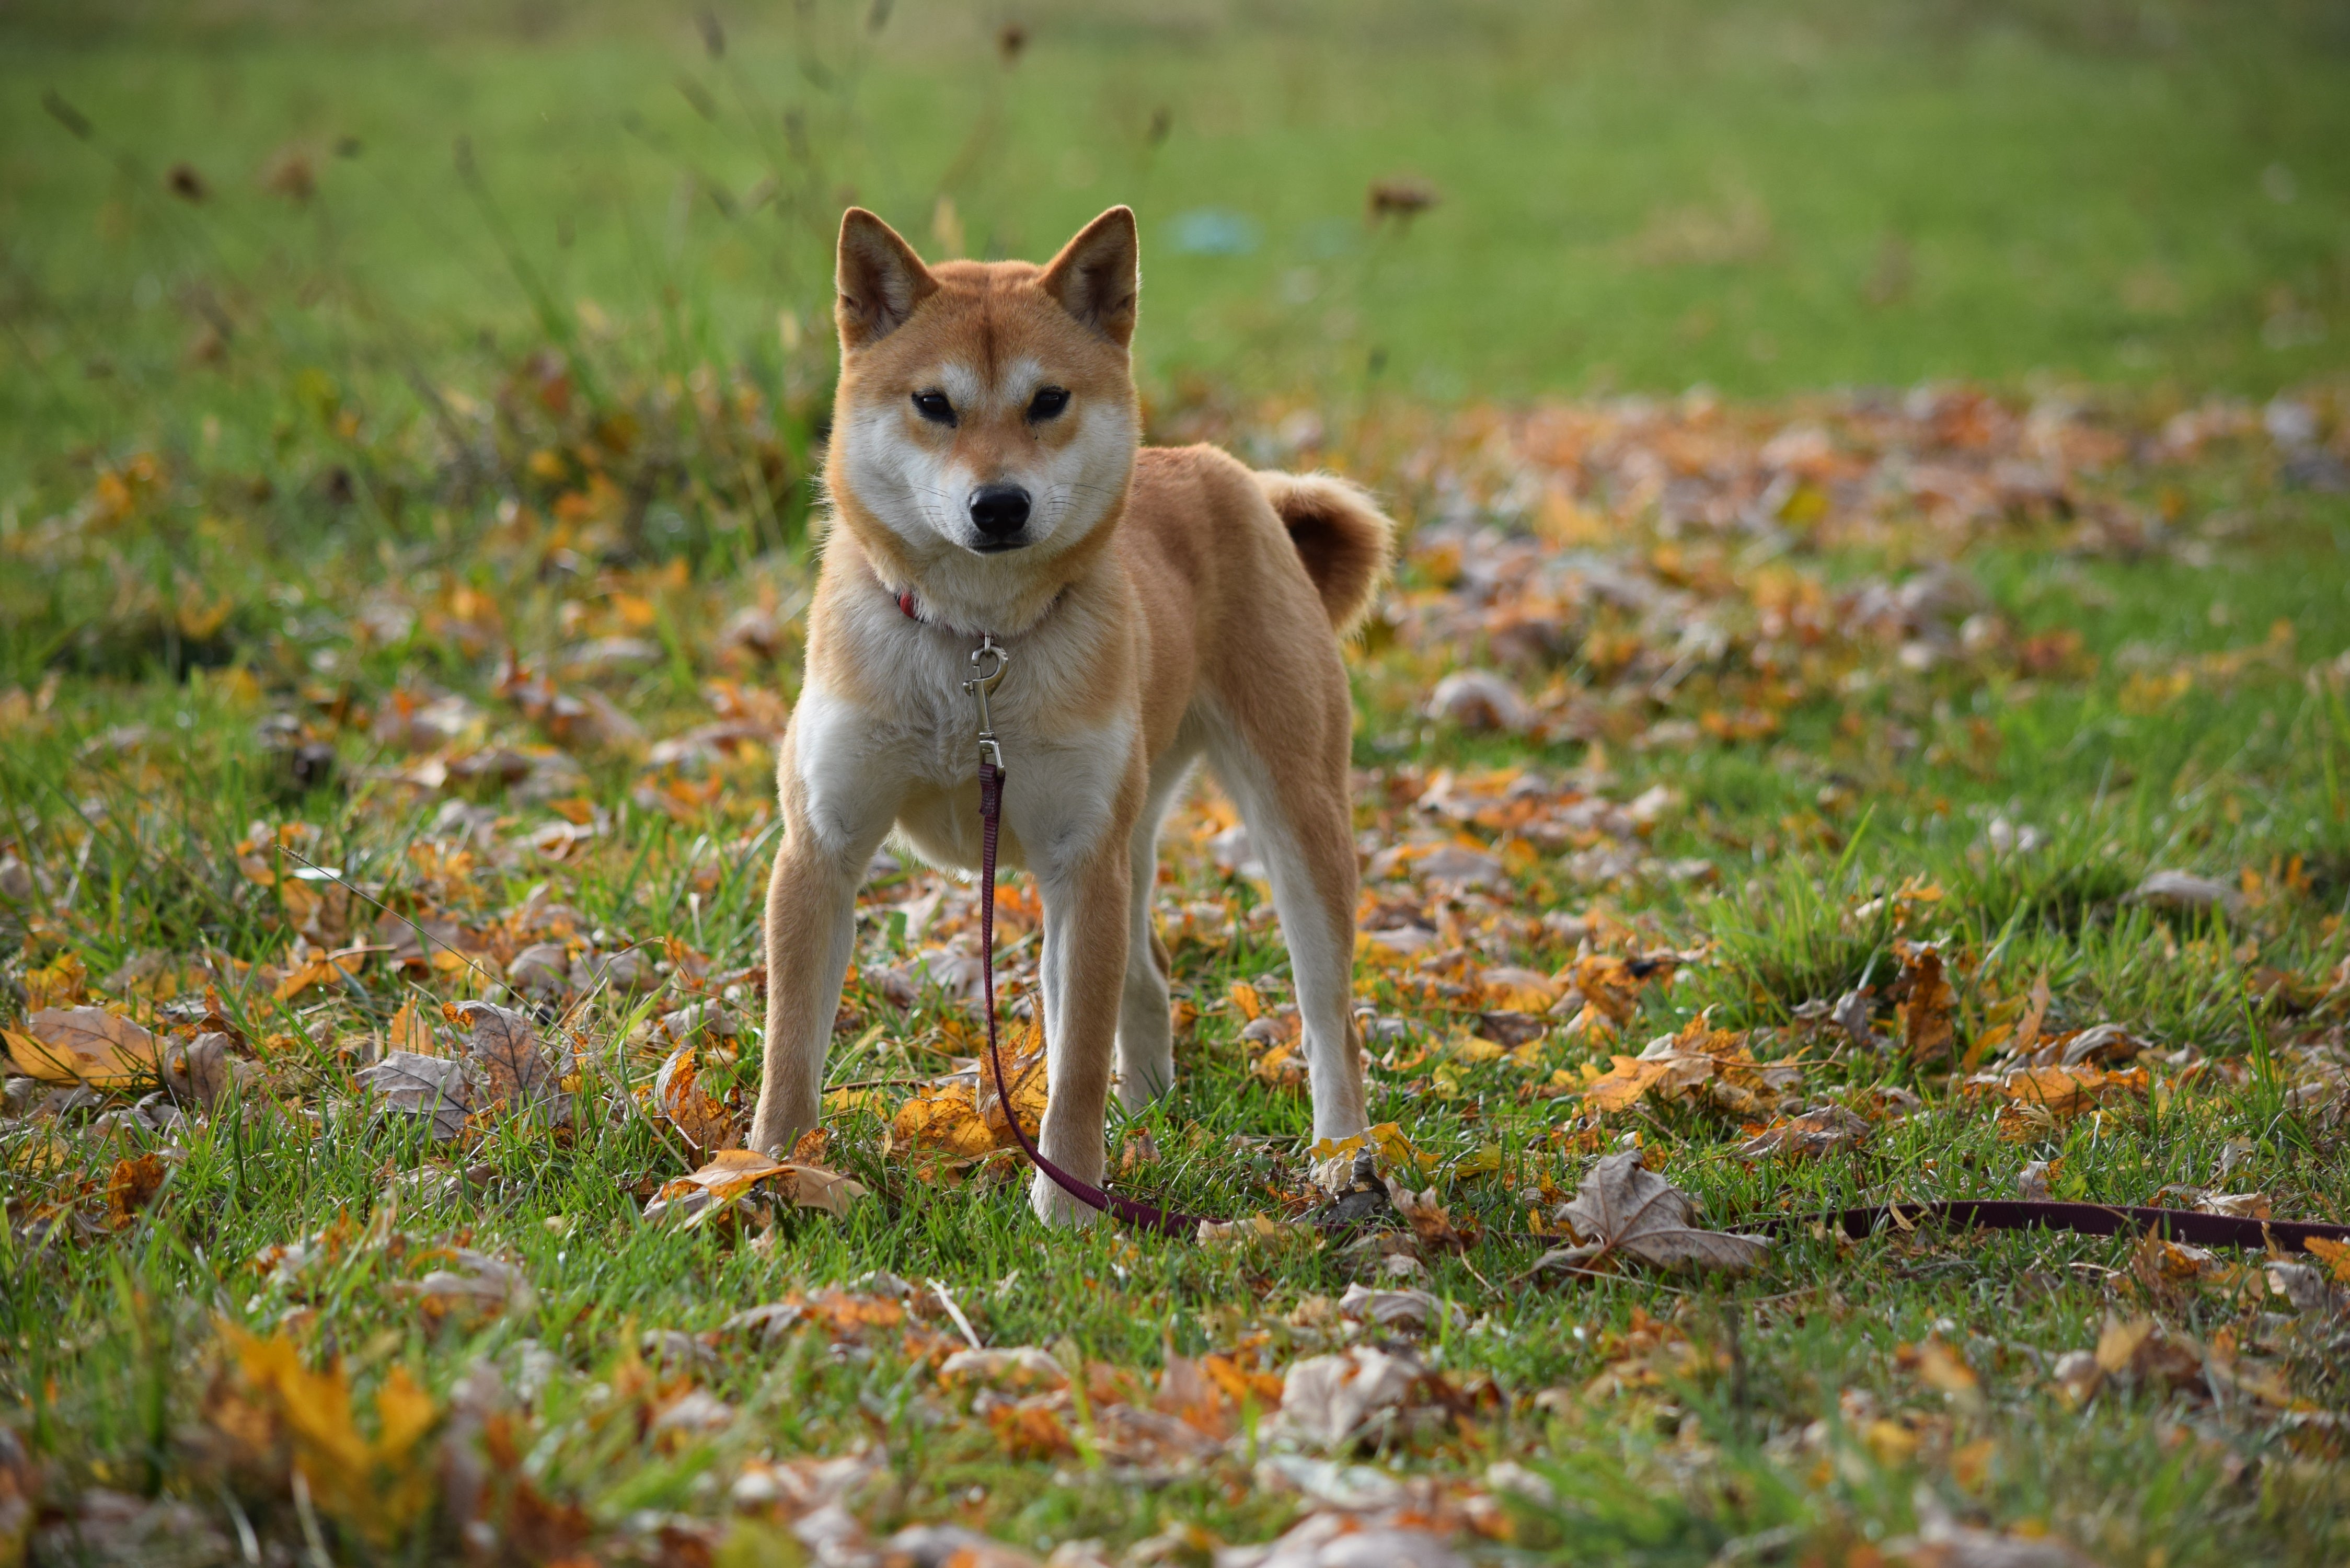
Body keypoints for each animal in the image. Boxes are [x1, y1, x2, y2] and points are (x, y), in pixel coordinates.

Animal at [747, 202, 1391, 1222]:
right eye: (933, 403)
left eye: (1048, 401)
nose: (999, 505)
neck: (973, 646)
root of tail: (1238, 479)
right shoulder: (824, 847)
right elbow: (790, 1051)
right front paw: (767, 1175)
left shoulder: (1077, 866)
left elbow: (1076, 1060)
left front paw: (1069, 1210)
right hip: (1129, 841)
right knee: (1149, 979)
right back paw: (1150, 1114)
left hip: (1291, 828)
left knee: (1330, 1022)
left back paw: (1341, 1156)